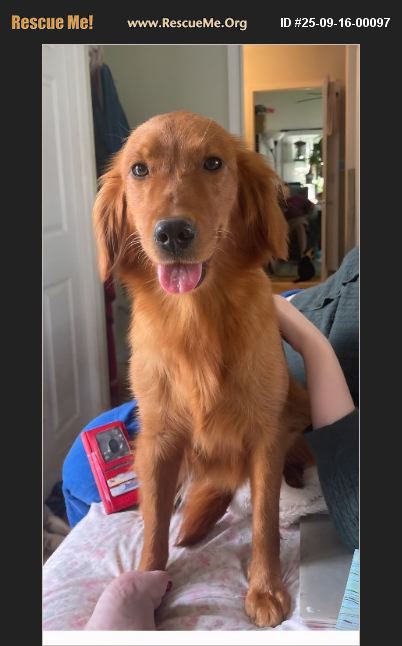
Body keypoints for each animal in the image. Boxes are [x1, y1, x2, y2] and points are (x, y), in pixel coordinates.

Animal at [93, 111, 312, 627]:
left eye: (213, 163)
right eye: (138, 170)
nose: (173, 233)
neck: (197, 321)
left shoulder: (265, 435)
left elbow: (264, 519)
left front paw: (265, 588)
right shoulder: (158, 438)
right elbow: (153, 524)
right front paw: (147, 585)